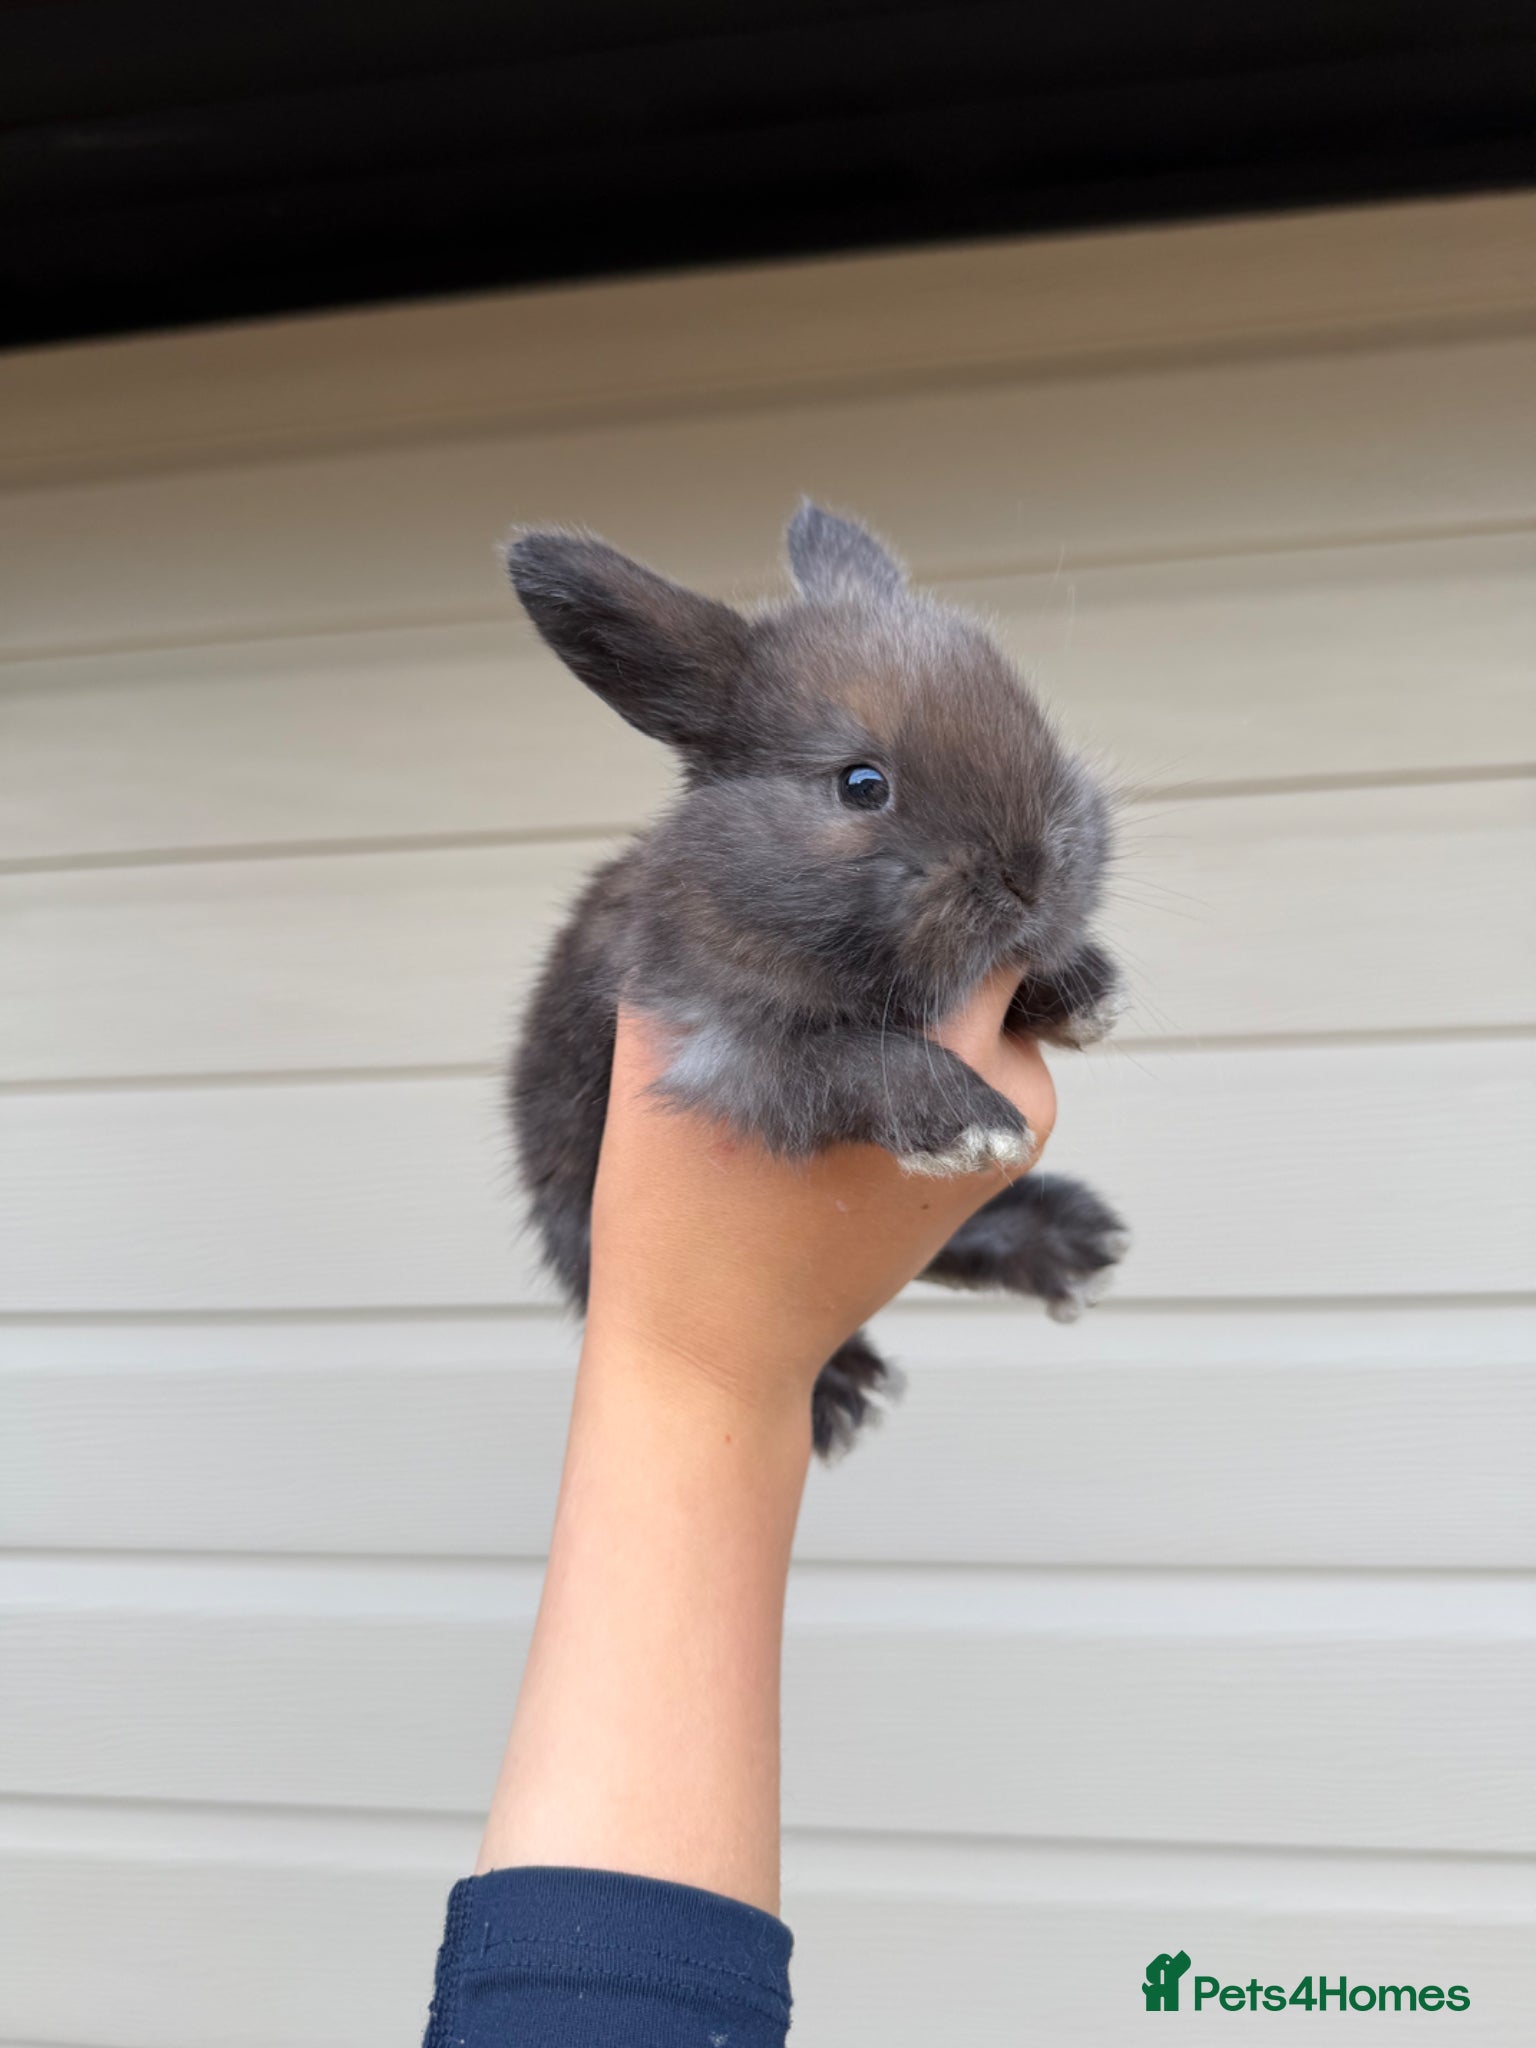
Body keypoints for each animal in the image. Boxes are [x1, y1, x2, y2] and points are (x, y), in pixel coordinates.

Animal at [507, 503, 1130, 1456]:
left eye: (1034, 723)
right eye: (861, 784)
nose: (1031, 874)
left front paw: (1086, 988)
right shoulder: (725, 1052)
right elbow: (855, 1062)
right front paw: (971, 1126)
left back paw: (1070, 1241)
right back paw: (842, 1388)